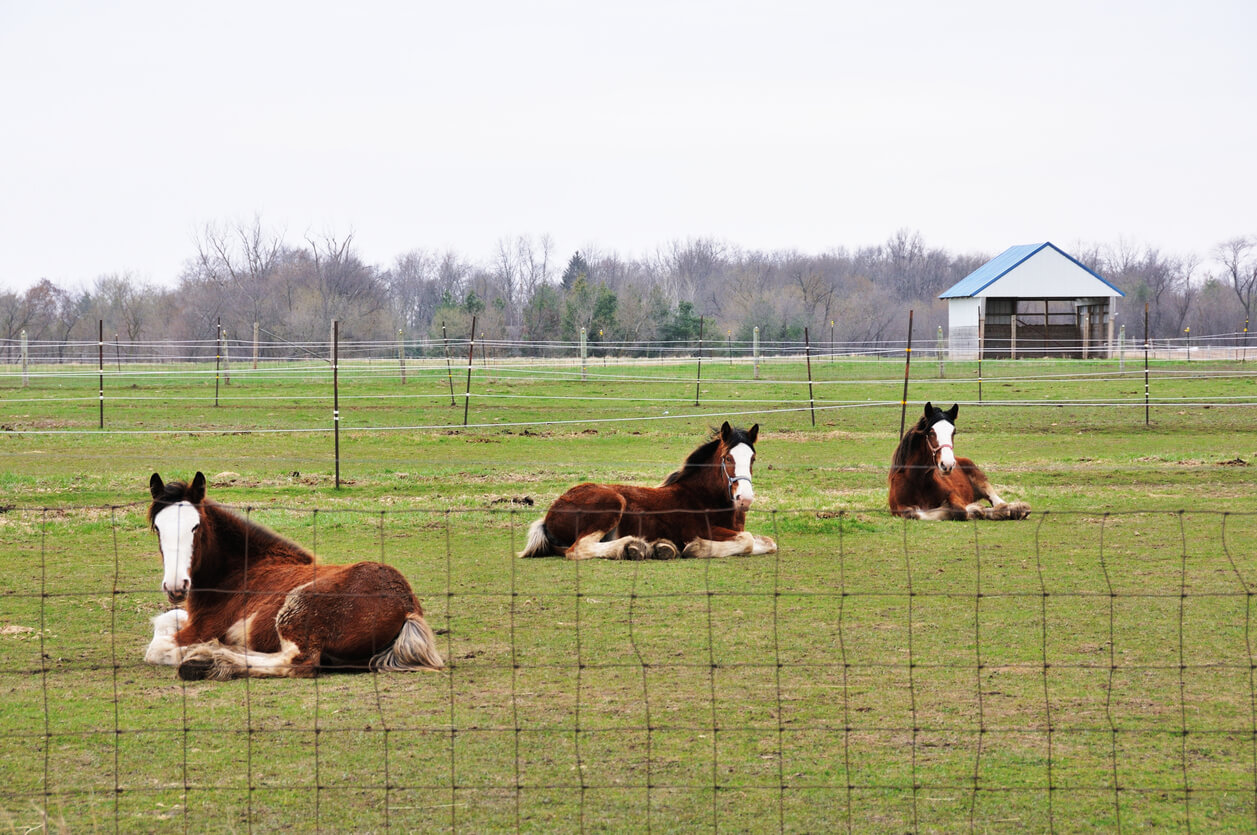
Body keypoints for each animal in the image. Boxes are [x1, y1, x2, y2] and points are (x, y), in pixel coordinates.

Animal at [143, 472, 443, 681]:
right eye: (157, 528)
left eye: (195, 527)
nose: (175, 587)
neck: (239, 572)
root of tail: (407, 607)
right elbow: (165, 619)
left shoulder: (201, 628)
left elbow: (156, 648)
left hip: (297, 609)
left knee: (297, 663)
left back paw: (208, 660)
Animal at [518, 421, 778, 559]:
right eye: (728, 458)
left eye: (753, 458)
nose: (745, 498)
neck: (704, 497)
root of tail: (548, 516)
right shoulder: (701, 529)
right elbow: (746, 541)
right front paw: (697, 548)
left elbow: (768, 542)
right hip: (612, 503)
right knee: (578, 549)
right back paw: (633, 546)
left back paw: (655, 547)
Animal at [888, 402, 1031, 521]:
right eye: (931, 432)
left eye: (954, 432)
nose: (947, 464)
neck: (919, 481)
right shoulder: (899, 509)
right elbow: (914, 513)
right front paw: (977, 509)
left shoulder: (953, 495)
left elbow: (960, 510)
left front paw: (976, 509)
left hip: (980, 480)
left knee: (998, 500)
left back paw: (1016, 509)